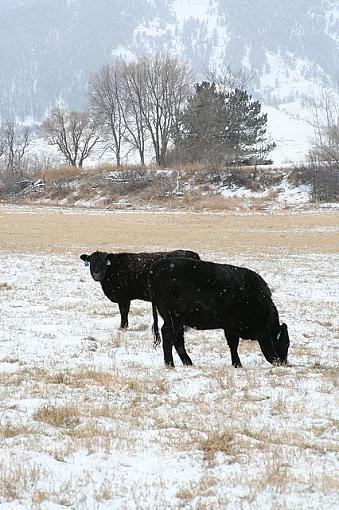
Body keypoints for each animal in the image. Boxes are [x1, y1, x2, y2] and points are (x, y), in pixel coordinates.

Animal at [150, 258, 290, 366]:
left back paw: (188, 363)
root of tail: (158, 265)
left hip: (178, 321)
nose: (285, 362)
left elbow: (233, 345)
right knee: (168, 336)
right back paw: (170, 364)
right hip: (173, 319)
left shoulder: (231, 327)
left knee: (178, 339)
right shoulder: (260, 330)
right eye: (286, 343)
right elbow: (265, 346)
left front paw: (237, 364)